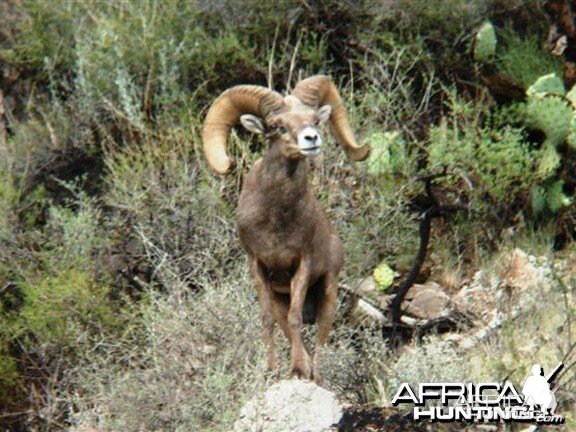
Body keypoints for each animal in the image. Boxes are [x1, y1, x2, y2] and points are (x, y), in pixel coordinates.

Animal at [202, 76, 368, 380]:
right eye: (277, 126)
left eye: (314, 119)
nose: (311, 139)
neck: (275, 225)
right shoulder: (258, 267)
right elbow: (268, 320)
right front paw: (272, 372)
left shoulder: (302, 266)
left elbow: (296, 319)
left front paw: (296, 371)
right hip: (282, 296)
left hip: (328, 291)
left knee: (320, 334)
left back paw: (313, 374)